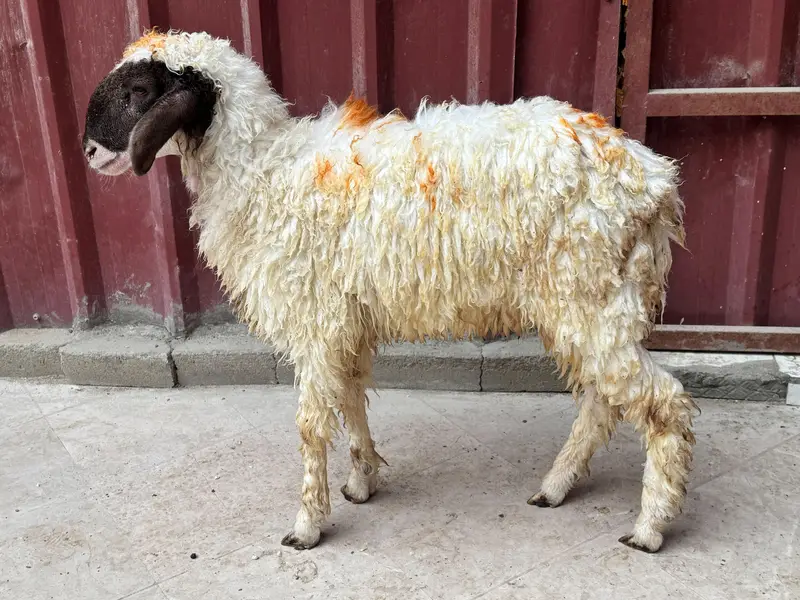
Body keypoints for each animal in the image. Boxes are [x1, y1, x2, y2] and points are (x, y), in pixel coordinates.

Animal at [82, 30, 697, 554]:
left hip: (590, 292)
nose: (87, 152)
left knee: (662, 403)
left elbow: (311, 425)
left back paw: (649, 527)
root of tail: (655, 183)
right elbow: (352, 400)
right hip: (591, 301)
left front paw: (306, 526)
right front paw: (361, 482)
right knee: (601, 399)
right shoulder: (345, 323)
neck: (264, 173)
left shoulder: (315, 319)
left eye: (139, 92)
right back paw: (556, 486)